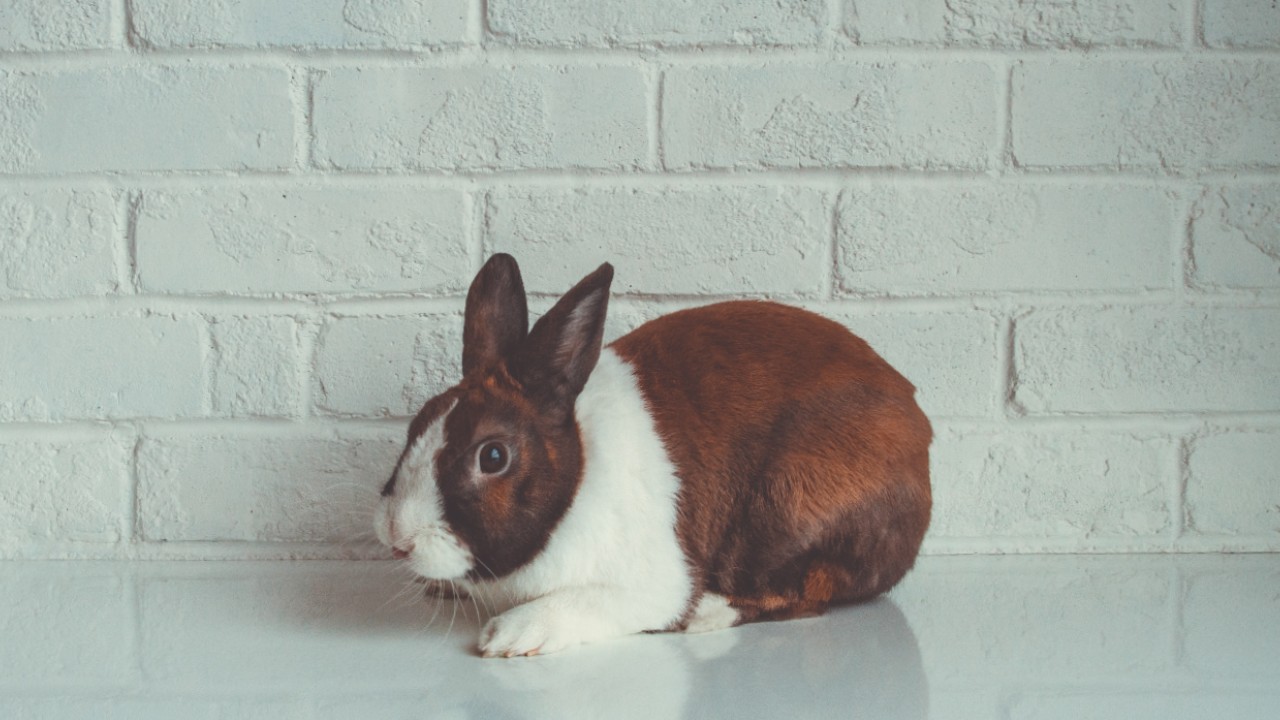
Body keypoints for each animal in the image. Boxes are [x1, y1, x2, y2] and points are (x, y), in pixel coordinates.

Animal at [375, 254, 932, 658]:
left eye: (492, 456)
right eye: (418, 423)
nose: (398, 540)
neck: (577, 477)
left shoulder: (648, 583)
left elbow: (590, 601)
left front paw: (512, 634)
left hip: (788, 510)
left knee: (810, 591)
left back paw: (707, 613)